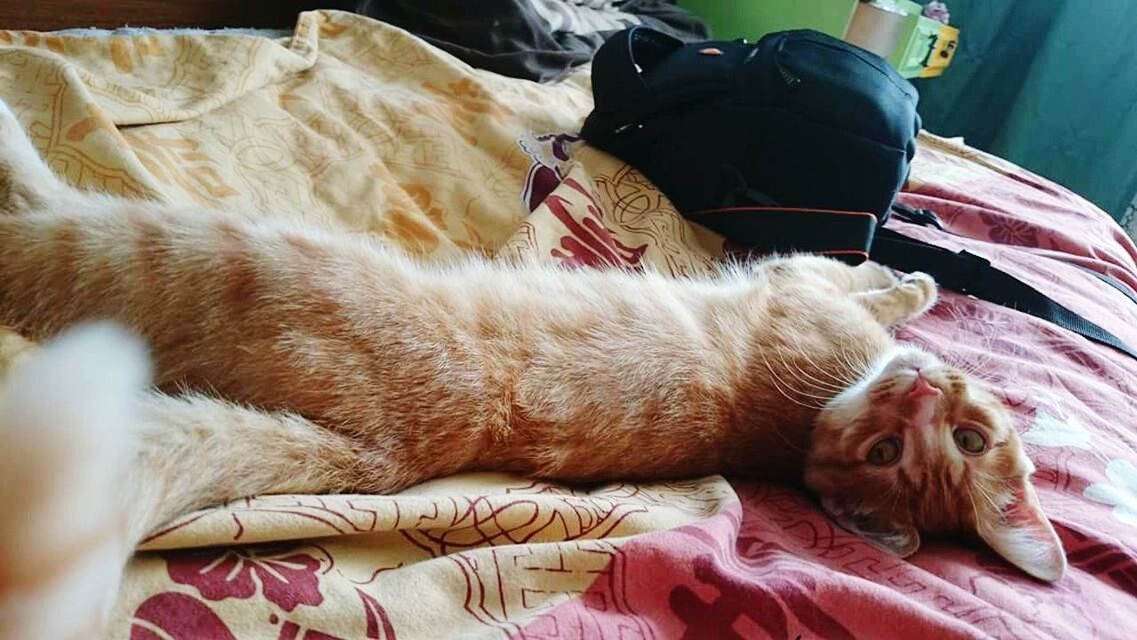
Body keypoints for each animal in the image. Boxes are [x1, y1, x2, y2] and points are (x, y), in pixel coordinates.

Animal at [0, 98, 1064, 636]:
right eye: (964, 438)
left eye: (909, 449)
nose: (918, 392)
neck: (806, 419)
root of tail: (380, 454)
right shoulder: (806, 289)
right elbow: (871, 279)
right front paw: (919, 281)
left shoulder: (796, 286)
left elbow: (850, 277)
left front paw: (907, 281)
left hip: (184, 245)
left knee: (39, 218)